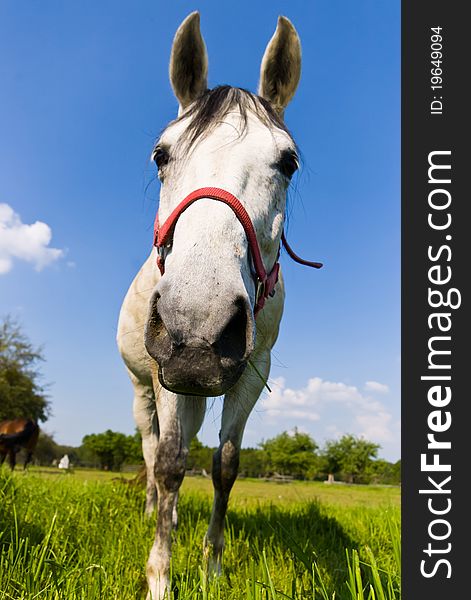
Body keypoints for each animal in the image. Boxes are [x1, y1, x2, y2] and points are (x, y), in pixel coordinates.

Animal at [119, 10, 306, 600]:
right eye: (161, 155)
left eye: (288, 163)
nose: (196, 331)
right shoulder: (166, 372)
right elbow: (171, 463)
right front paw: (160, 577)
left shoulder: (250, 369)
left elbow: (224, 465)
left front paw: (212, 566)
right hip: (147, 388)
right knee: (153, 450)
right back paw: (153, 512)